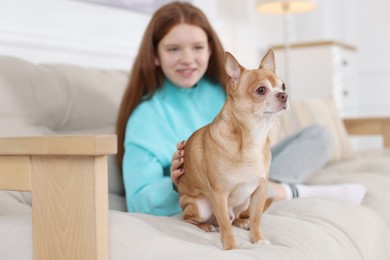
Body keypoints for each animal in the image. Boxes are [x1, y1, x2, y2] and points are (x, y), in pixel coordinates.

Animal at [177, 48, 286, 250]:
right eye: (261, 90)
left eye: (283, 86)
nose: (284, 95)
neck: (253, 137)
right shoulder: (219, 194)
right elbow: (225, 227)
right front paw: (231, 248)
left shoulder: (260, 190)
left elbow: (256, 219)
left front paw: (257, 239)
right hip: (201, 207)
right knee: (190, 219)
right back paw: (206, 226)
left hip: (244, 201)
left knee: (235, 218)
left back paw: (242, 222)